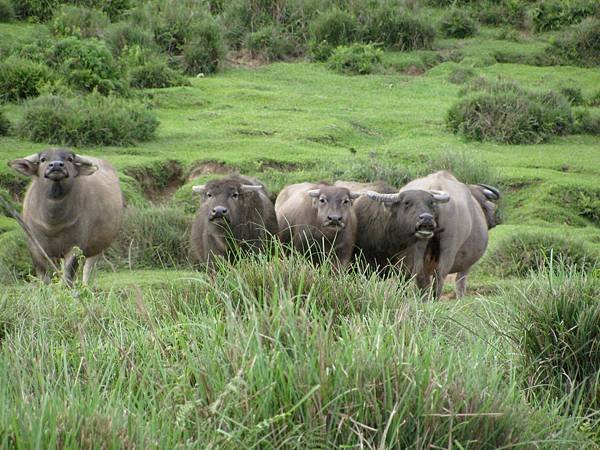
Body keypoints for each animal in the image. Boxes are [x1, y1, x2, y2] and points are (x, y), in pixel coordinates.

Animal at [8, 148, 123, 284]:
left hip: (99, 247)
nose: (56, 165)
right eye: (43, 159)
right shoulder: (35, 248)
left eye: (70, 159)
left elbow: (68, 277)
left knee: (88, 268)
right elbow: (44, 278)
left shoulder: (75, 248)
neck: (52, 224)